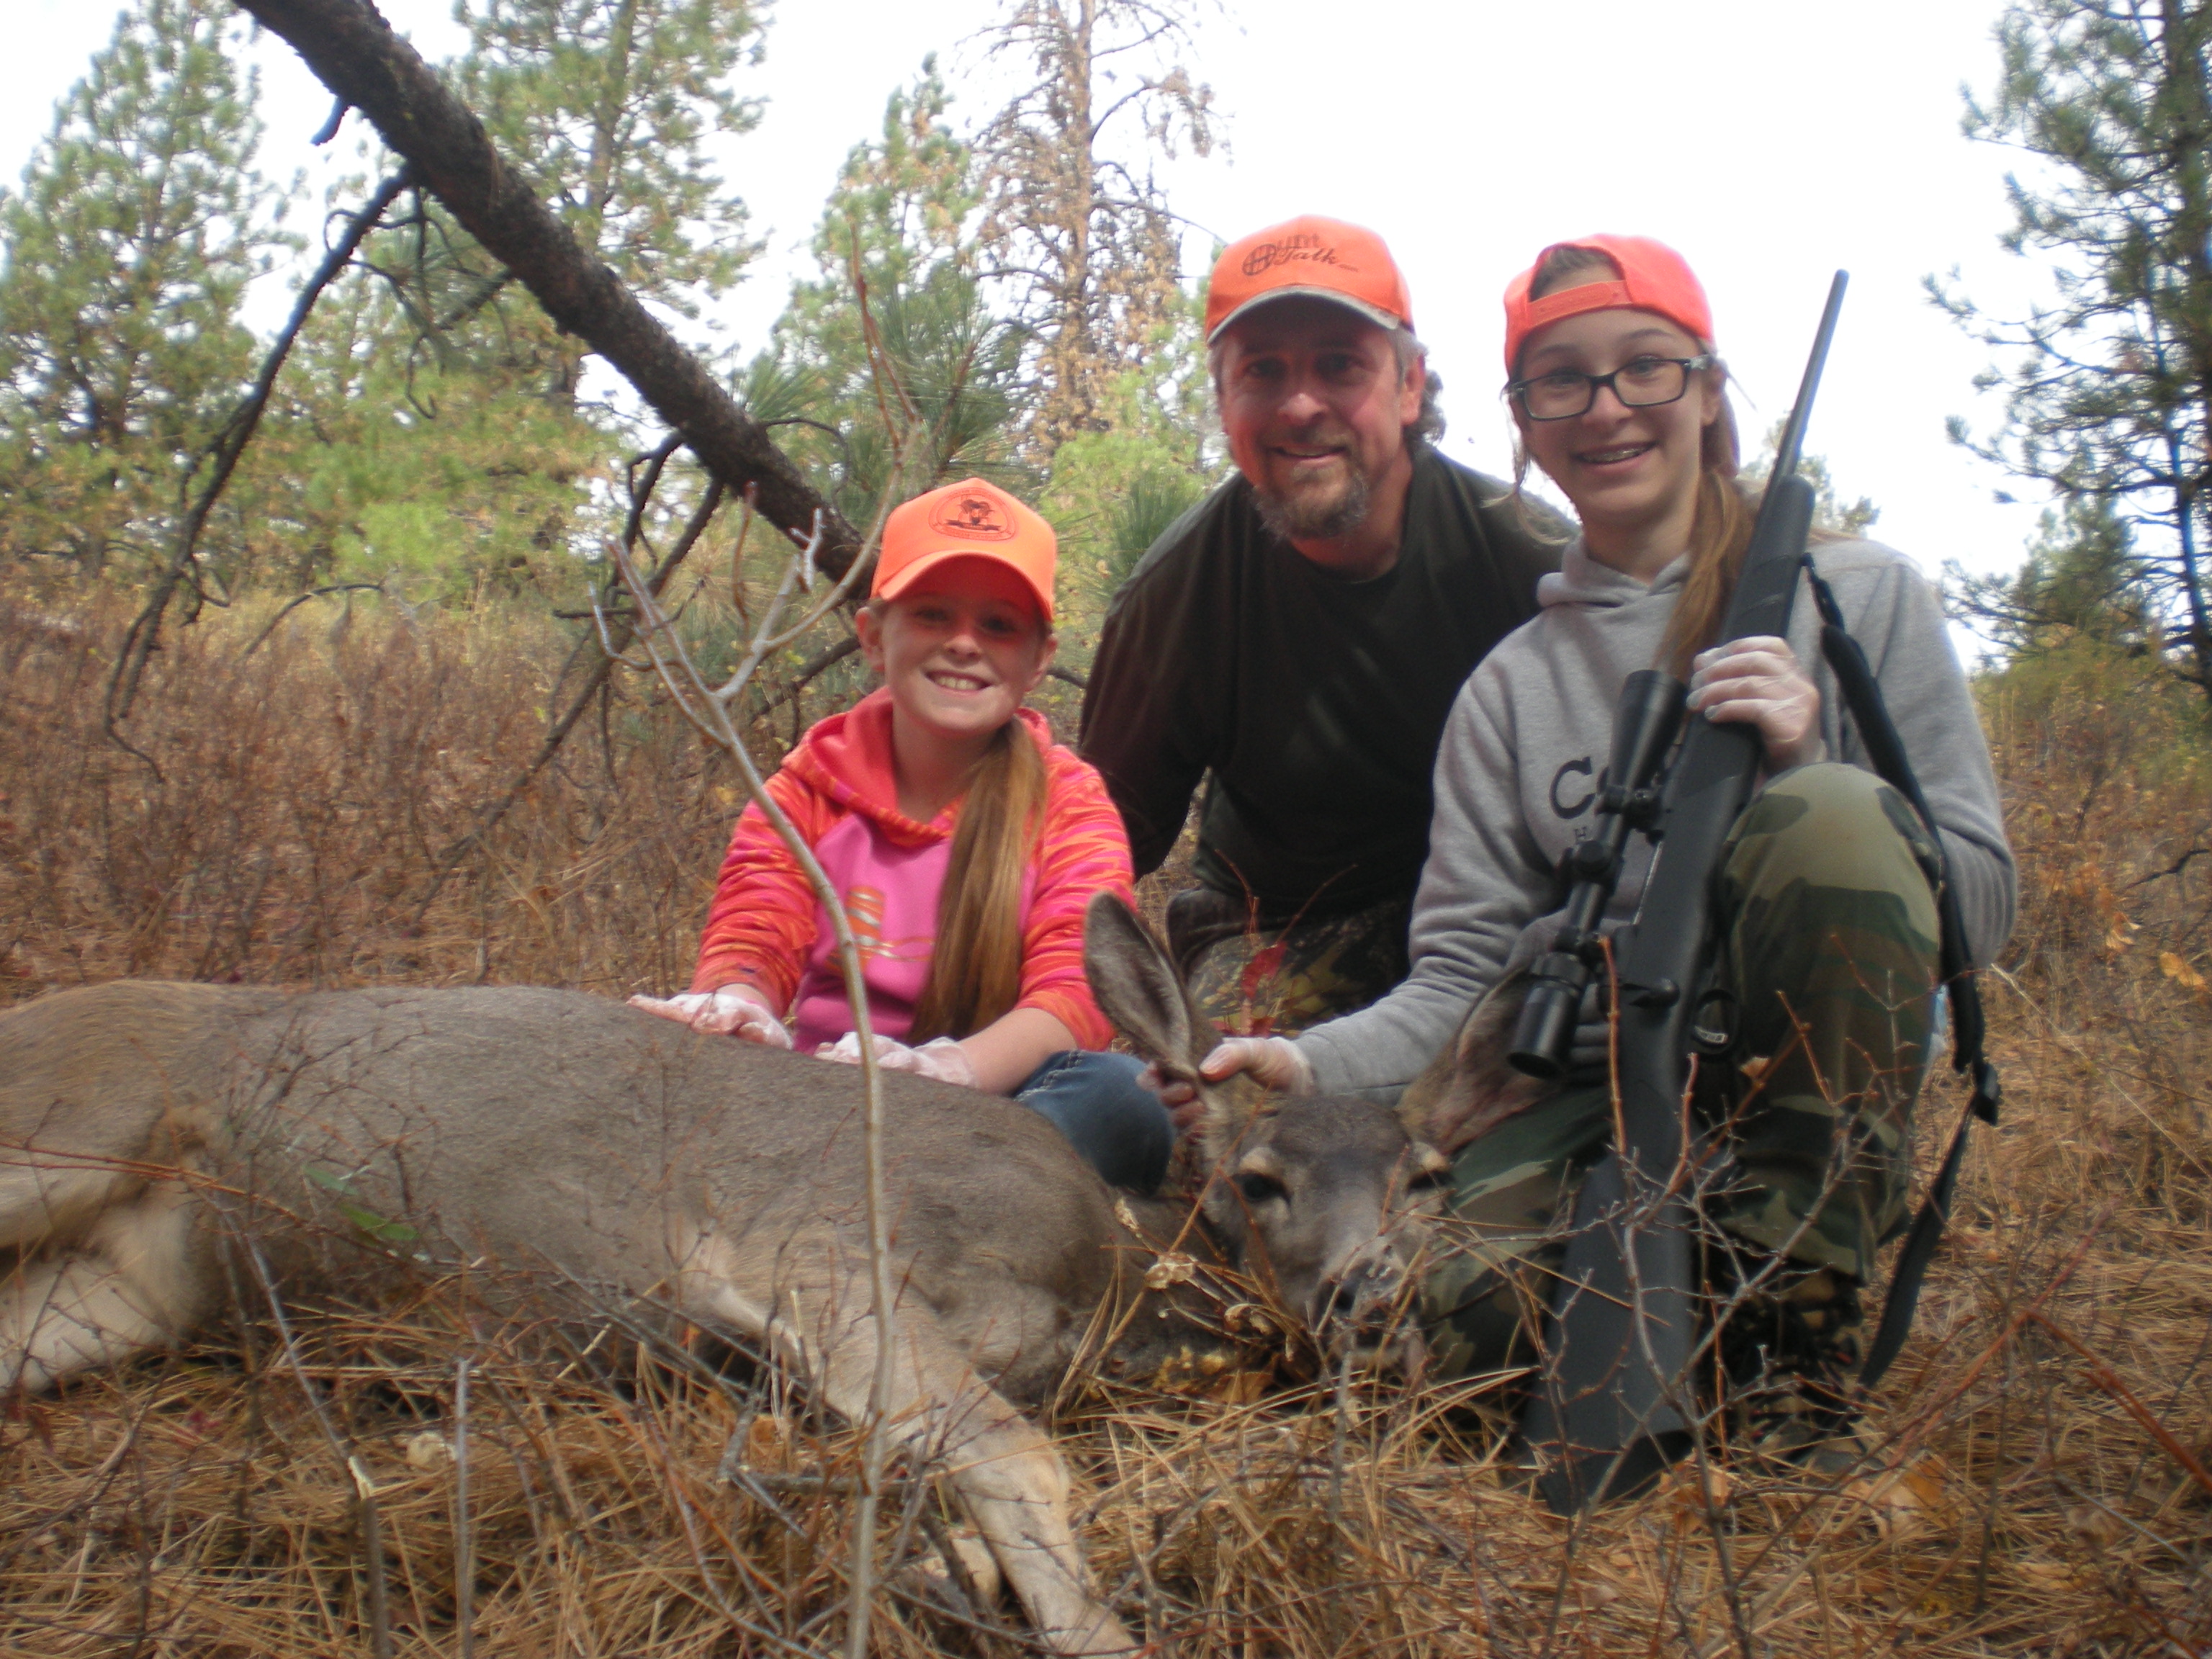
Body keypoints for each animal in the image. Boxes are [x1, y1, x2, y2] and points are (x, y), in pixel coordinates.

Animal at [0, 902, 1451, 1654]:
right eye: (1257, 1178)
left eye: (1425, 1178)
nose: (1371, 1300)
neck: (1099, 1279)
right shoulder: (830, 1256)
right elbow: (1024, 1458)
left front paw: (958, 1585)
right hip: (66, 1121)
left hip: (117, 1290)